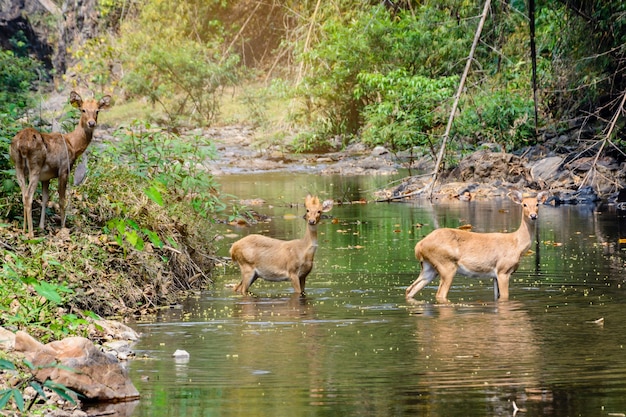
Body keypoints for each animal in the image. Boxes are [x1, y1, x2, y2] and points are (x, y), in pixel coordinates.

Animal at [9, 89, 111, 236]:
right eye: (83, 110)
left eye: (97, 110)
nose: (91, 123)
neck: (73, 144)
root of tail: (22, 144)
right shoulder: (64, 169)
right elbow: (62, 200)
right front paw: (63, 227)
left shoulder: (46, 177)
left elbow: (45, 199)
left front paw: (41, 226)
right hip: (35, 164)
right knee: (28, 195)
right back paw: (31, 233)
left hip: (17, 164)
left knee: (23, 194)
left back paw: (23, 229)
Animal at [404, 189, 544, 302]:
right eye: (524, 204)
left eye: (537, 204)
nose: (533, 216)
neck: (516, 243)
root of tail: (419, 246)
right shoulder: (503, 270)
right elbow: (504, 297)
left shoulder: (495, 275)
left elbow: (496, 297)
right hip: (446, 265)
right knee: (439, 294)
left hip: (429, 268)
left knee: (410, 289)